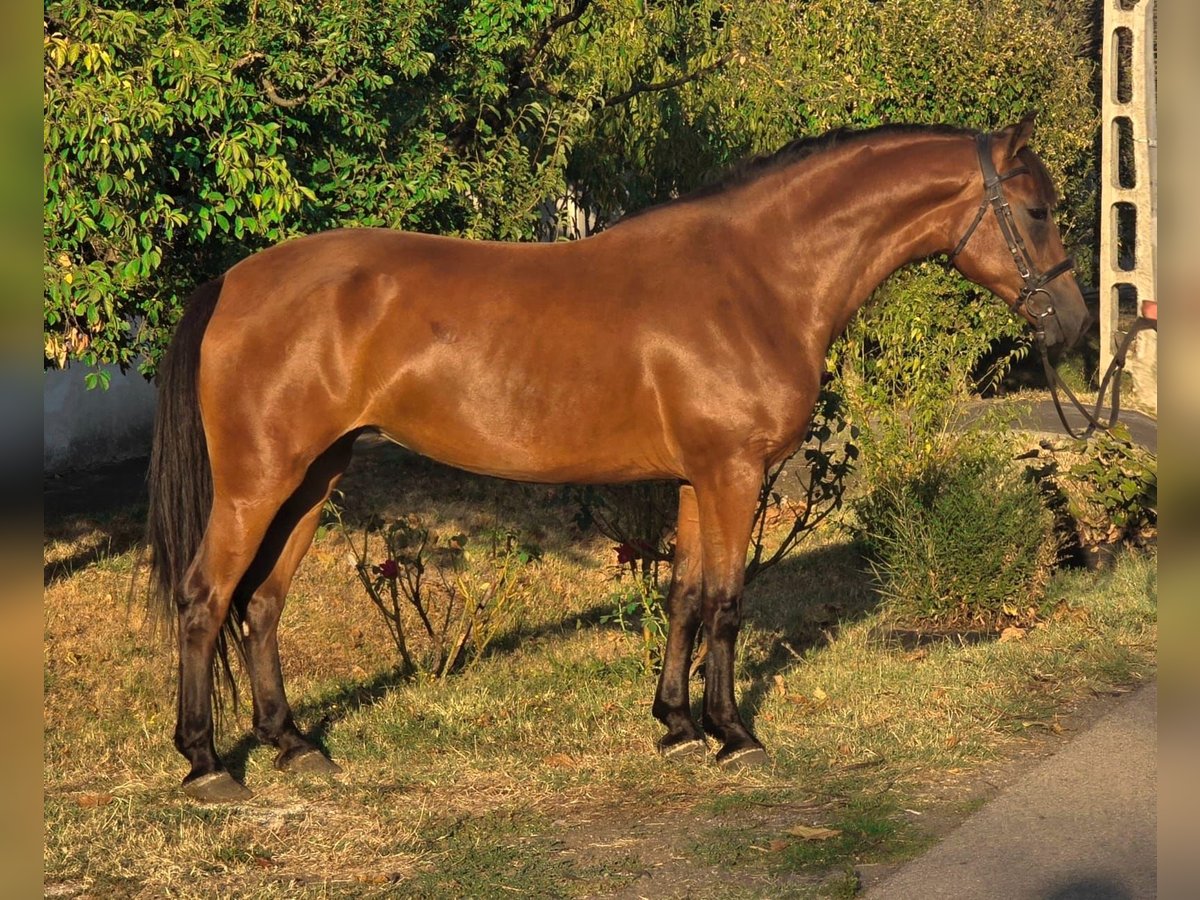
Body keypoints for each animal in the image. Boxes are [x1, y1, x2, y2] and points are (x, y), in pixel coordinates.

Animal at [147, 114, 1089, 801]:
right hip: (259, 483)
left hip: (314, 476)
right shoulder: (734, 475)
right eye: (1038, 212)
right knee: (205, 599)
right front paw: (735, 736)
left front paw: (676, 725)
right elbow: (727, 604)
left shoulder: (694, 479)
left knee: (262, 603)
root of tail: (234, 282)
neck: (756, 279)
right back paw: (206, 764)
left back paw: (292, 744)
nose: (1075, 325)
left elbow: (684, 598)